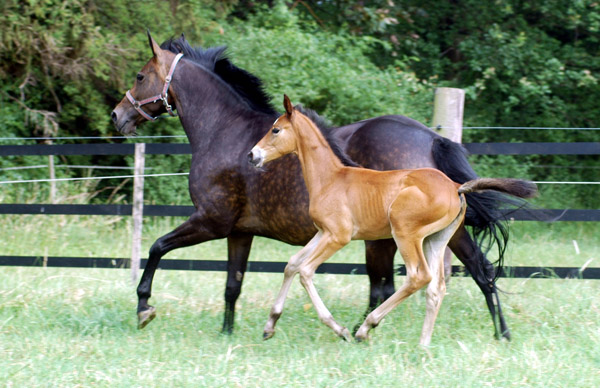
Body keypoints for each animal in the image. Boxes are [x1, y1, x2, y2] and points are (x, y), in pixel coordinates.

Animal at [113, 33, 524, 340]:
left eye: (140, 76)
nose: (118, 116)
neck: (223, 130)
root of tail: (430, 138)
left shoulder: (211, 221)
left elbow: (156, 248)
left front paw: (144, 308)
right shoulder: (239, 232)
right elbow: (233, 284)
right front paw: (227, 333)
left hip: (388, 238)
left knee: (390, 285)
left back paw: (359, 329)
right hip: (442, 232)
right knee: (481, 270)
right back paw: (501, 333)